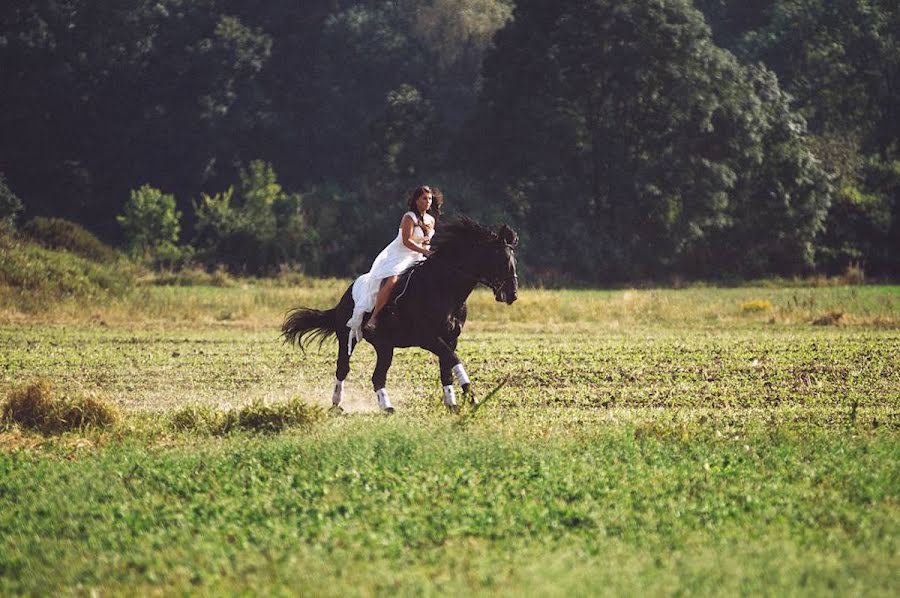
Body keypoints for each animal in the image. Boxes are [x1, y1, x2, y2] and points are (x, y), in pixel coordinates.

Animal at [282, 219, 520, 412]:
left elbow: (446, 369)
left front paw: (453, 404)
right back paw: (337, 405)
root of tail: (345, 295)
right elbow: (453, 360)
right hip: (347, 337)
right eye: (500, 258)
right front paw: (473, 398)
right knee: (343, 368)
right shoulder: (429, 339)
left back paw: (386, 407)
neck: (444, 289)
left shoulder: (451, 339)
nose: (512, 294)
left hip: (384, 346)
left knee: (378, 377)